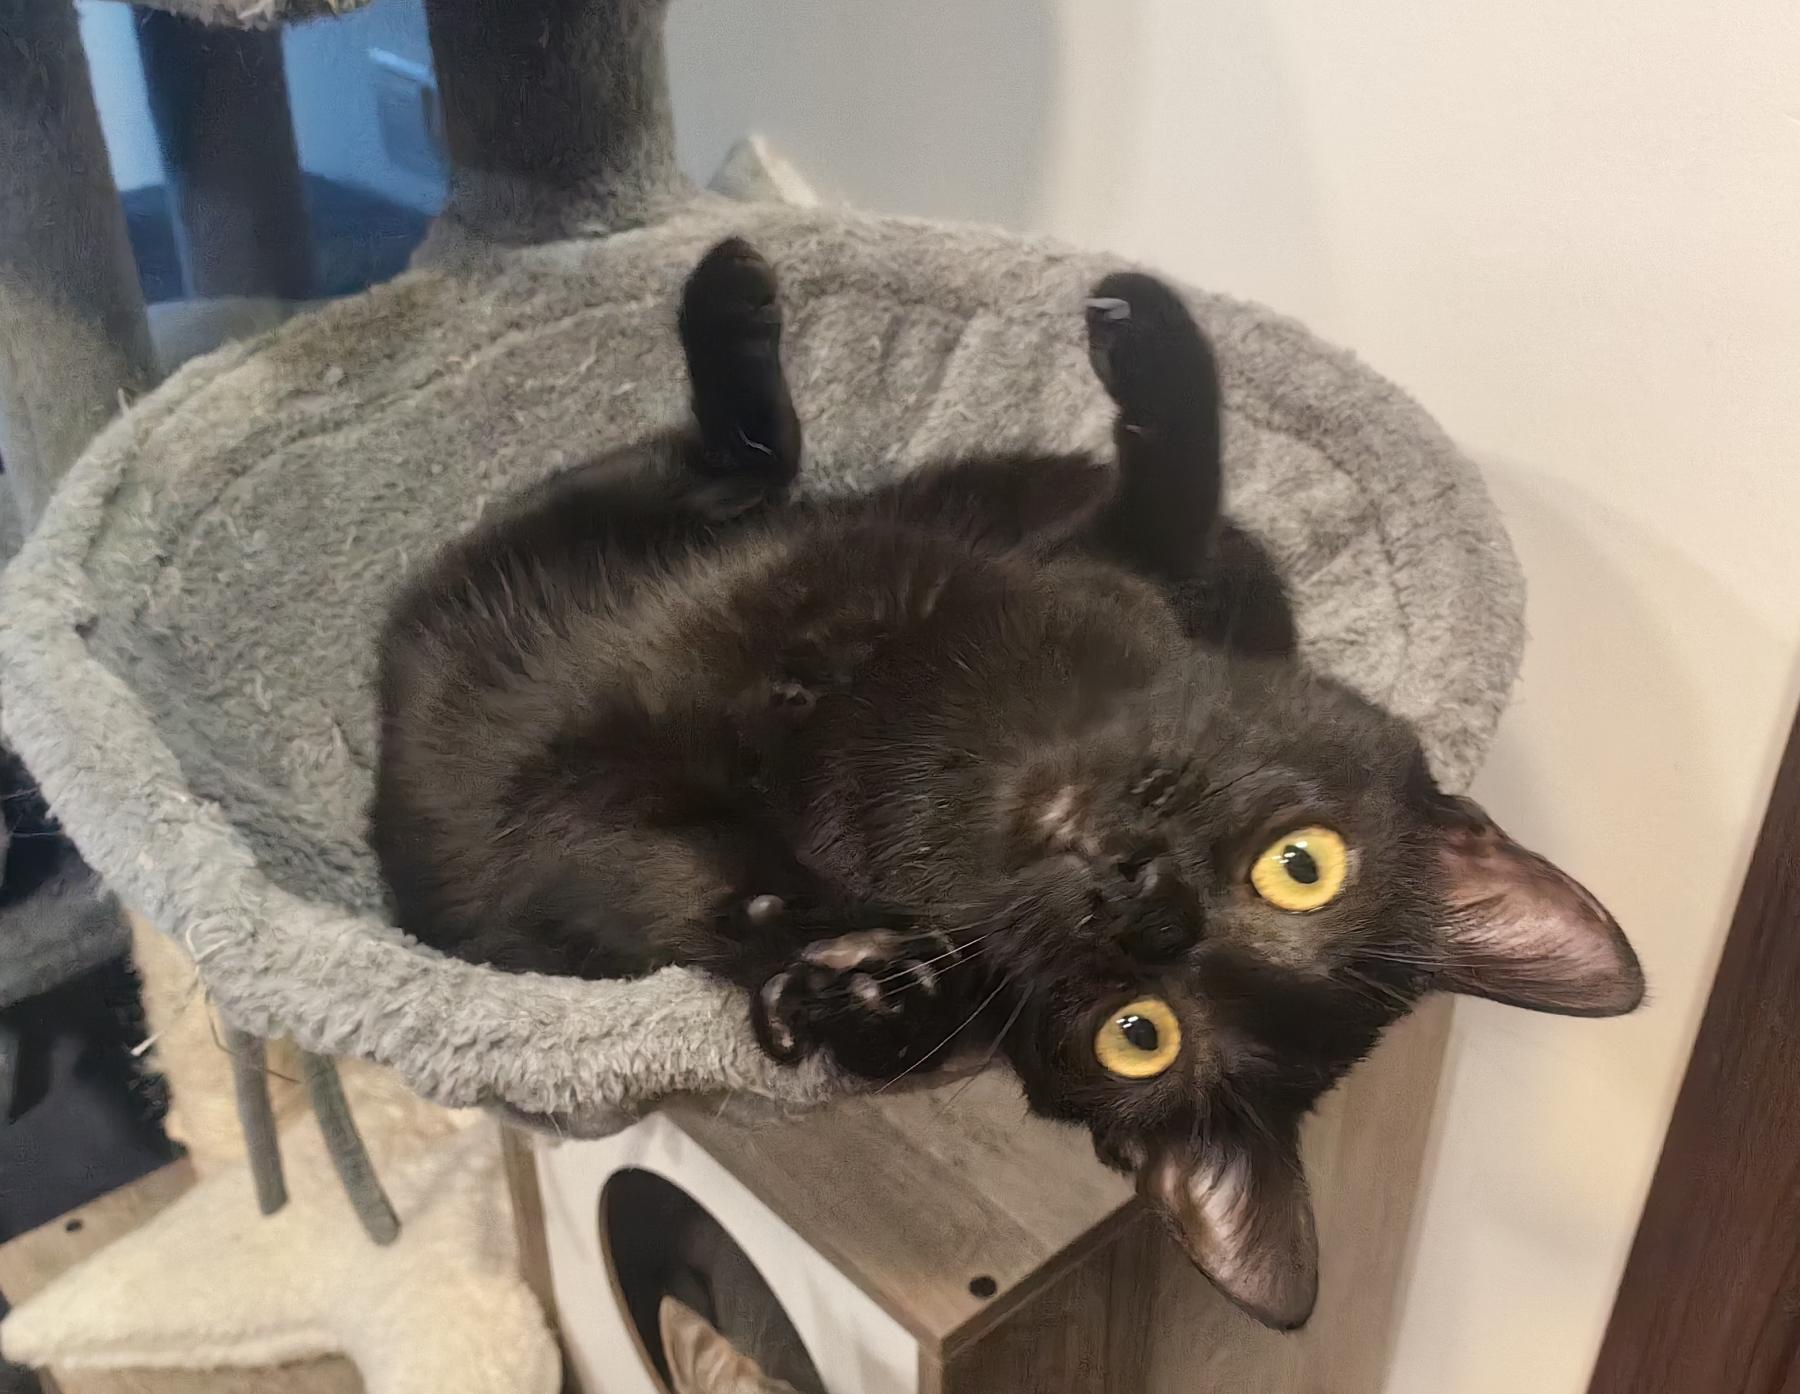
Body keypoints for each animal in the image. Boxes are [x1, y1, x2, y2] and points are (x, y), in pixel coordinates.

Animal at [371, 238, 1643, 1330]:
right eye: (1303, 866)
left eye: (1140, 1034)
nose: (1139, 893)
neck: (969, 777)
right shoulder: (1112, 564)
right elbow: (1178, 494)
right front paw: (1154, 334)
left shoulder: (564, 878)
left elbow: (629, 873)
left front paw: (848, 982)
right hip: (665, 514)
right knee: (742, 469)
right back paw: (736, 292)